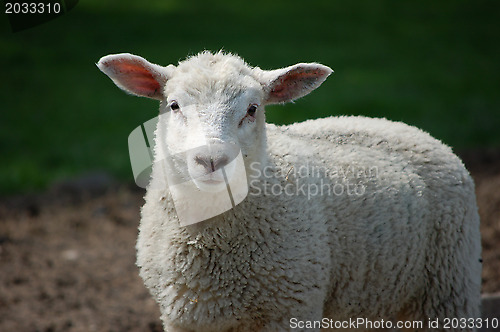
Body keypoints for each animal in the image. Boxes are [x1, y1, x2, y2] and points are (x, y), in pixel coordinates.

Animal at [95, 50, 482, 330]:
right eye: (174, 106)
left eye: (252, 109)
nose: (212, 161)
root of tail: (406, 127)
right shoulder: (185, 318)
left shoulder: (289, 309)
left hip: (448, 289)